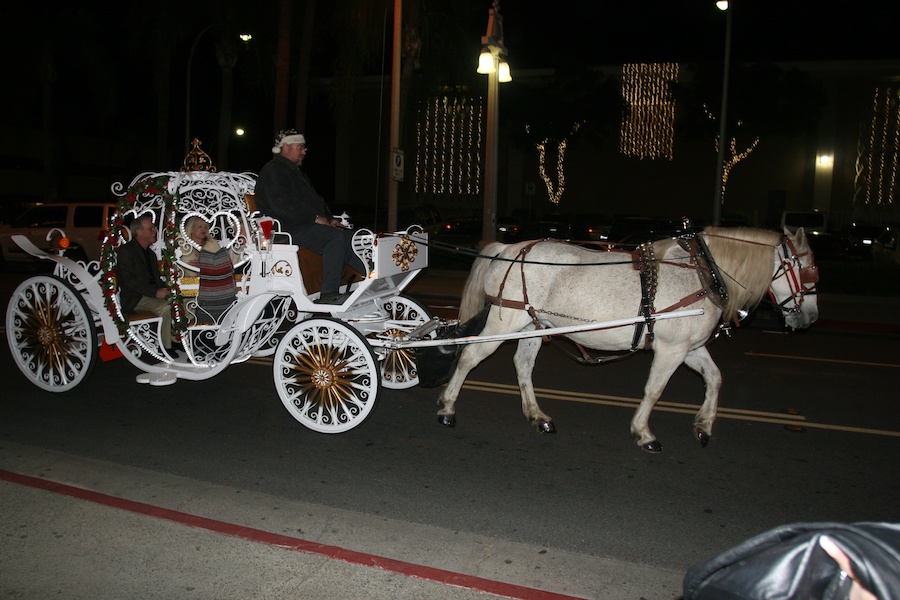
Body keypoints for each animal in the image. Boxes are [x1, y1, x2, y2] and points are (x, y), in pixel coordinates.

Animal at [436, 227, 824, 452]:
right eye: (808, 271)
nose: (811, 318)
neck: (703, 273)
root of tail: (508, 248)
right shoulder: (671, 349)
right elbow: (654, 389)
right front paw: (643, 432)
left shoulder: (690, 348)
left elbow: (715, 378)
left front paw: (703, 425)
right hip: (505, 321)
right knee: (469, 357)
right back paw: (447, 408)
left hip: (533, 325)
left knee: (522, 366)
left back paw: (537, 416)